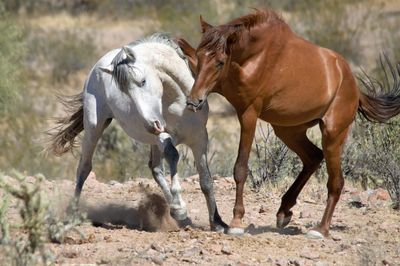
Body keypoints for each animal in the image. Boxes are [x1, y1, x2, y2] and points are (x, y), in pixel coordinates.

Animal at [48, 33, 227, 232]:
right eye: (124, 91)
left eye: (142, 81)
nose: (150, 126)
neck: (178, 100)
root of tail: (97, 66)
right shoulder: (162, 136)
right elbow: (173, 154)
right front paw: (179, 208)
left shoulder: (199, 138)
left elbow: (206, 180)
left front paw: (218, 223)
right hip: (94, 128)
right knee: (84, 168)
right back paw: (71, 214)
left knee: (155, 168)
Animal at [177, 8, 400, 238]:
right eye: (199, 58)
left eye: (220, 62)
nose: (194, 101)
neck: (255, 57)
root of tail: (353, 85)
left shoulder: (248, 114)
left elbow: (240, 168)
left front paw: (236, 221)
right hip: (288, 130)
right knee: (313, 157)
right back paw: (284, 210)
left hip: (332, 134)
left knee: (336, 181)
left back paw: (320, 229)